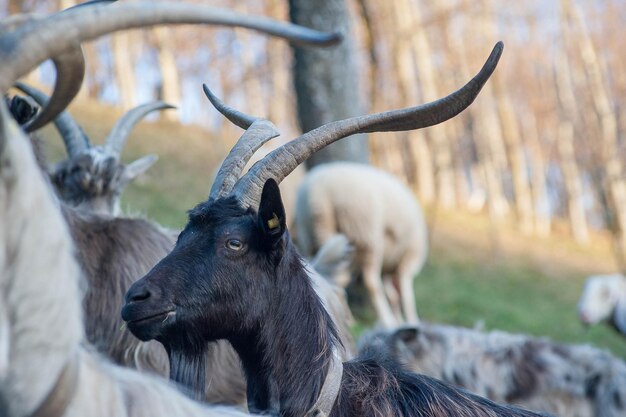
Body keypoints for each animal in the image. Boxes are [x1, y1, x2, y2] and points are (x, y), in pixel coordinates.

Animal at [294, 161, 426, 326]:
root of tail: (319, 194)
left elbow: (394, 295)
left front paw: (401, 320)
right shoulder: (409, 256)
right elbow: (406, 293)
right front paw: (411, 320)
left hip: (313, 235)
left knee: (330, 275)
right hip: (366, 236)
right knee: (371, 283)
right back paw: (386, 320)